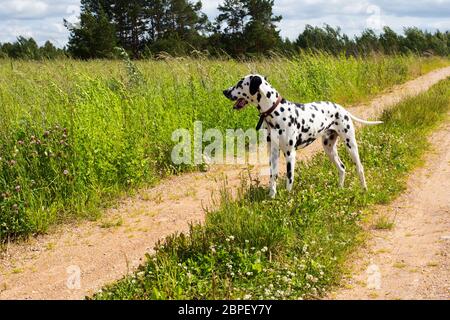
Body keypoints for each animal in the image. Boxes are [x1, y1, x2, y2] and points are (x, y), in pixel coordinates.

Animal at [223, 74, 382, 198]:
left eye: (240, 83)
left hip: (351, 145)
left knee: (359, 167)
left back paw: (364, 189)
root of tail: (342, 108)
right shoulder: (273, 153)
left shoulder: (290, 154)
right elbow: (273, 176)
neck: (276, 112)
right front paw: (272, 197)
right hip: (329, 148)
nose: (224, 91)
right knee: (342, 168)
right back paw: (340, 189)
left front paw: (287, 200)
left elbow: (289, 178)